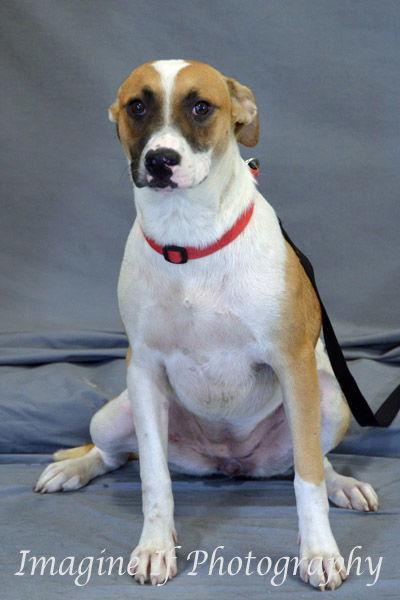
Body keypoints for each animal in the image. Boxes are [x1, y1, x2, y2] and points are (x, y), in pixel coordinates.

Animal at [34, 59, 378, 592]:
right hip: (114, 412)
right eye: (137, 106)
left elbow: (307, 479)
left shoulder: (293, 364)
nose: (161, 161)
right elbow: (154, 477)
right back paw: (73, 469)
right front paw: (155, 547)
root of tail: (229, 462)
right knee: (116, 455)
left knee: (315, 460)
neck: (188, 237)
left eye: (201, 107)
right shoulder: (143, 368)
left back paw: (344, 485)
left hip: (329, 399)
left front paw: (319, 552)